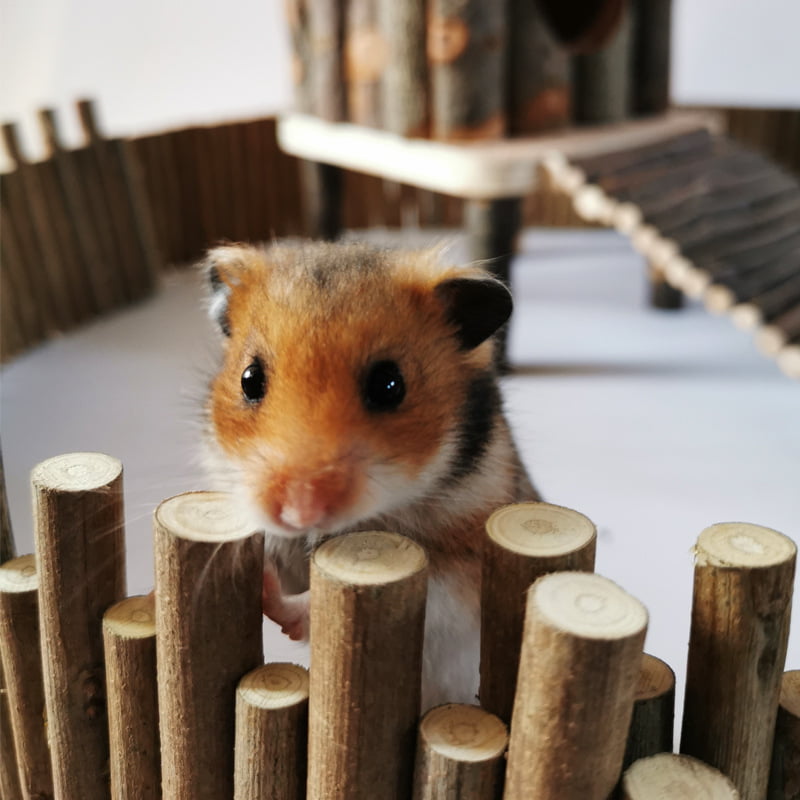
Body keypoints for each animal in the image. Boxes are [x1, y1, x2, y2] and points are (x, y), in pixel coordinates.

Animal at [202, 240, 539, 708]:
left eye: (389, 384)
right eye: (249, 379)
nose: (299, 513)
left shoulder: (462, 575)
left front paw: (275, 602)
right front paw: (260, 577)